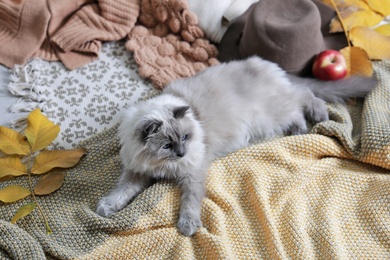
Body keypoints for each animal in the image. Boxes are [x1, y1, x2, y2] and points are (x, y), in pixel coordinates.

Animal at [96, 55, 376, 237]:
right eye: (167, 145)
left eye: (184, 138)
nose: (182, 152)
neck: (160, 166)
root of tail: (264, 64)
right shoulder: (137, 172)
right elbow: (121, 192)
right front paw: (106, 208)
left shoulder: (192, 173)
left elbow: (189, 202)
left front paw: (187, 226)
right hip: (273, 117)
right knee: (299, 104)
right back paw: (301, 128)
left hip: (271, 114)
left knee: (305, 95)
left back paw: (317, 118)